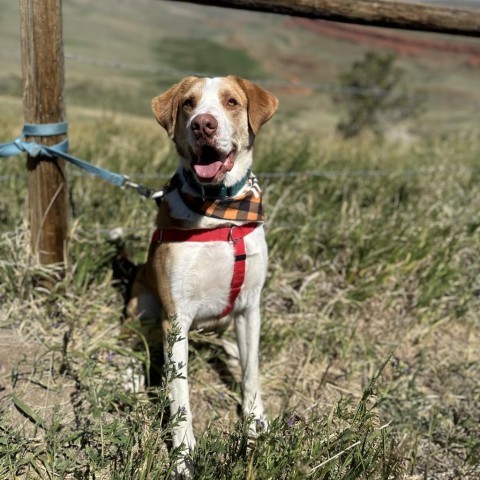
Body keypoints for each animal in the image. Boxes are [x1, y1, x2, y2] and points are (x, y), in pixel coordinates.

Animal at [127, 77, 278, 474]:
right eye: (188, 104)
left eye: (231, 102)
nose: (203, 125)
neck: (219, 211)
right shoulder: (176, 317)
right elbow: (180, 395)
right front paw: (182, 458)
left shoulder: (249, 307)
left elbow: (252, 372)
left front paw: (255, 424)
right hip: (143, 304)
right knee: (134, 337)